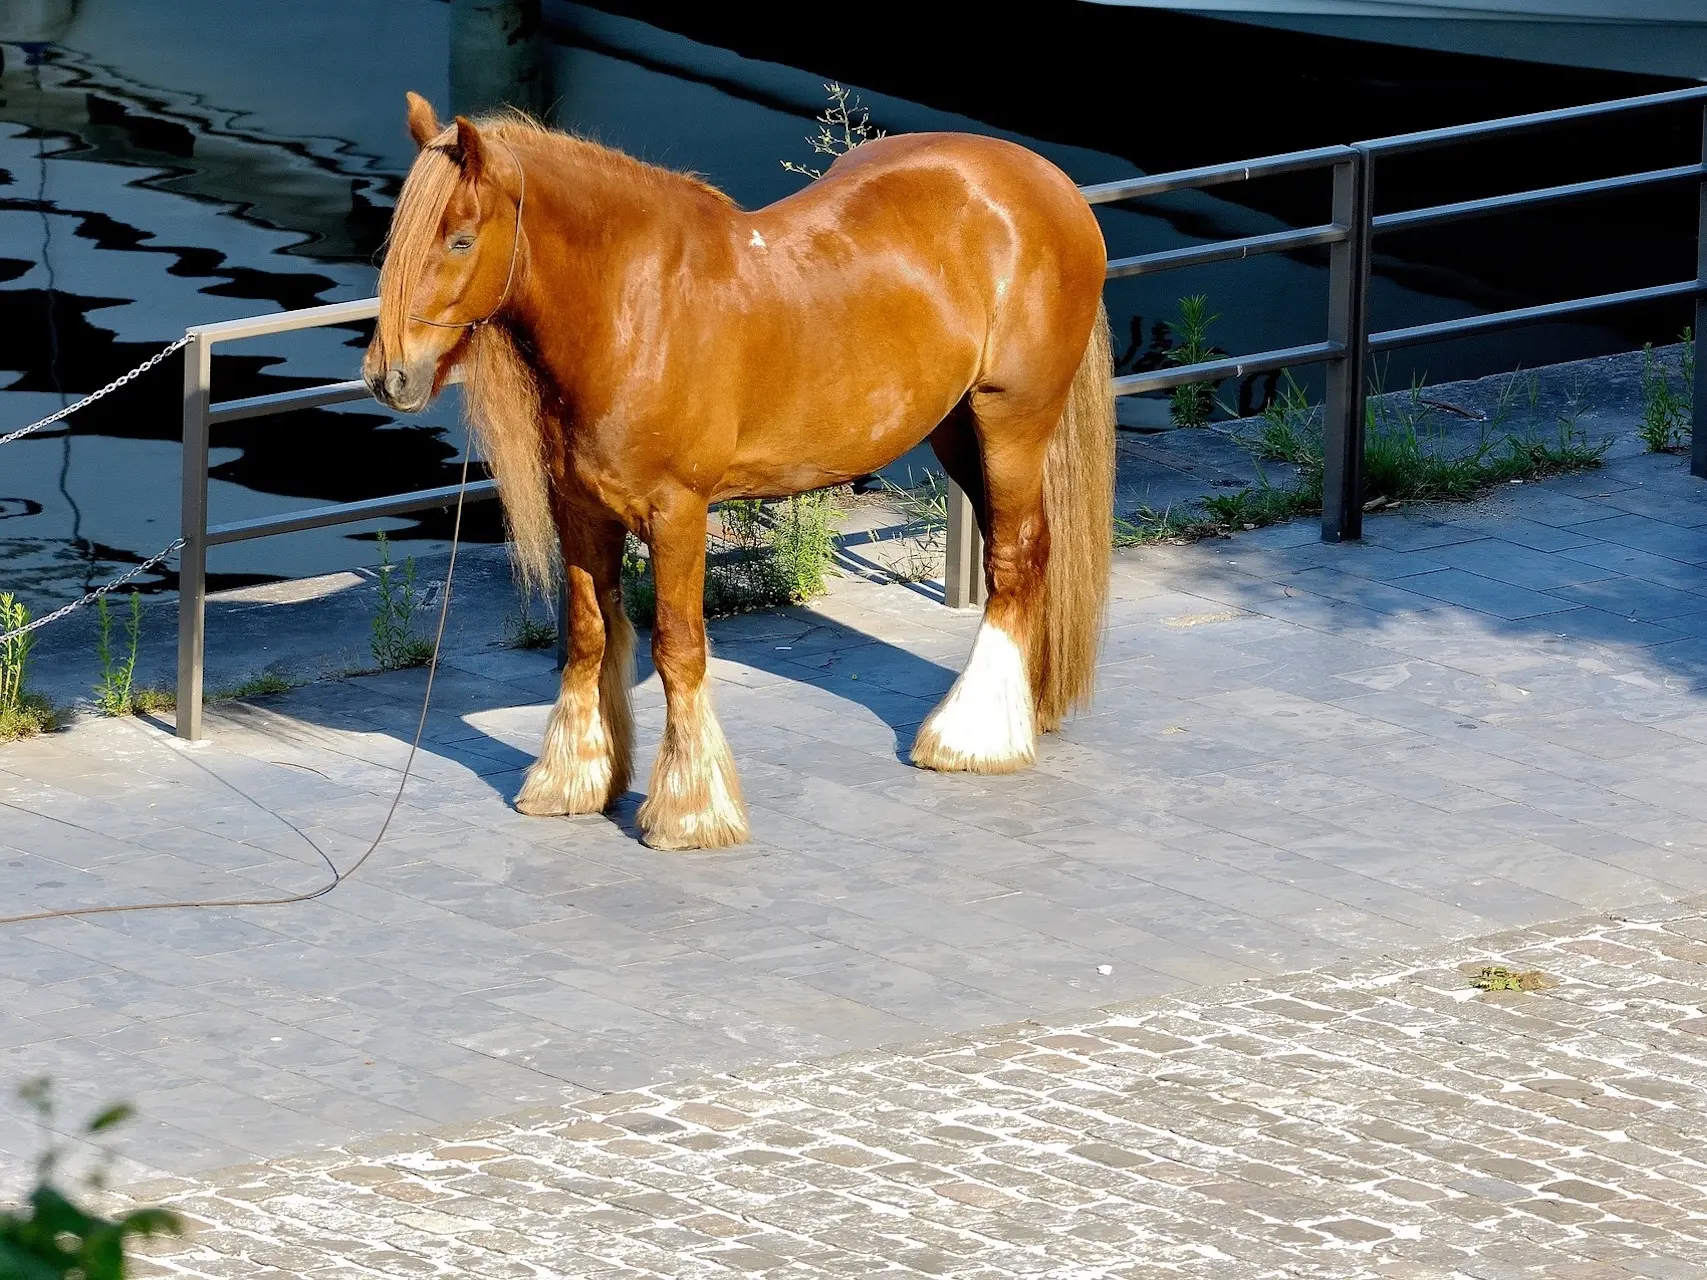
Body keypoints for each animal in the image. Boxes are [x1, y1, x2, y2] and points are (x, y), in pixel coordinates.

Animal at [365, 97, 1112, 853]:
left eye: (460, 240)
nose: (389, 377)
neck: (633, 309)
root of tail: (1047, 182)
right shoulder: (578, 507)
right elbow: (588, 635)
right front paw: (571, 780)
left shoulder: (677, 511)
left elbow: (678, 647)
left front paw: (690, 811)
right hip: (960, 433)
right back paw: (1024, 709)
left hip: (1010, 423)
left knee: (1015, 559)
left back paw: (971, 738)